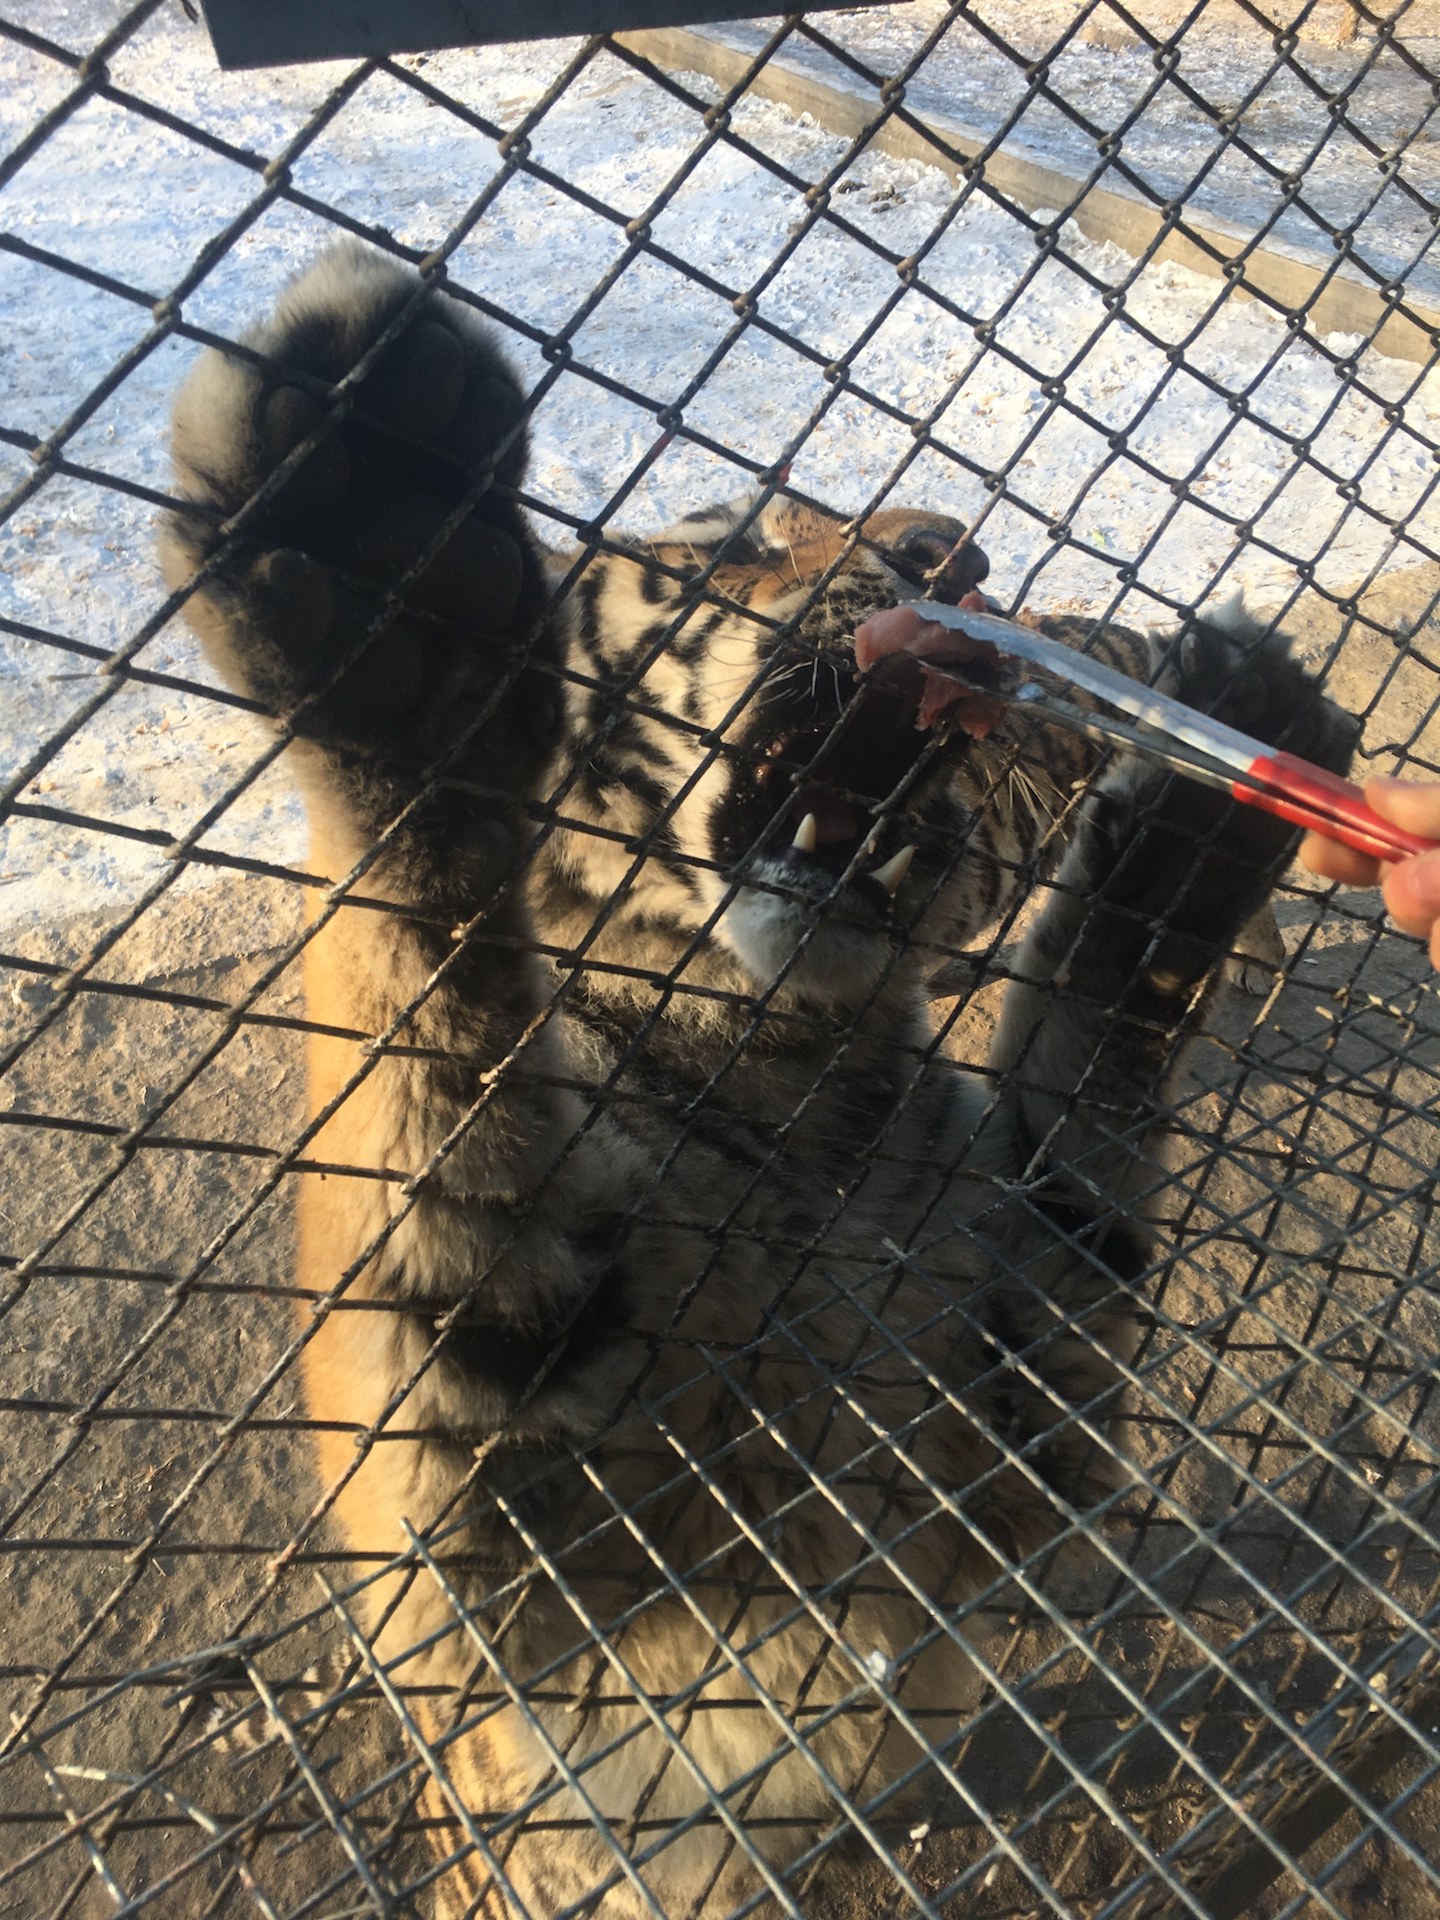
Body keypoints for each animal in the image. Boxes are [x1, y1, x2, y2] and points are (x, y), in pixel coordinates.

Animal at [163, 243, 1359, 1920]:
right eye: (732, 541)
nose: (952, 551)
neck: (797, 1077)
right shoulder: (497, 1561)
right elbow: (412, 1035)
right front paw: (389, 561)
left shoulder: (1014, 1427)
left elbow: (1085, 1127)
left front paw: (1210, 793)